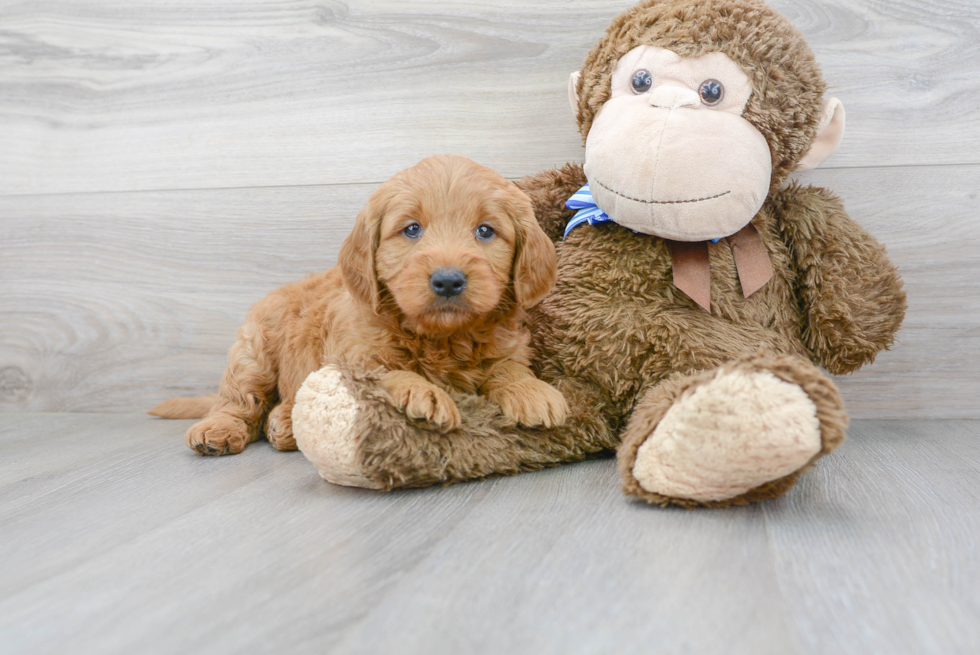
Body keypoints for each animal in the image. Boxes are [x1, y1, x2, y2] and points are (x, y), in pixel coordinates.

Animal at [149, 156, 572, 458]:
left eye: (486, 231)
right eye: (412, 229)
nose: (449, 280)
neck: (443, 338)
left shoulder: (506, 345)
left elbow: (507, 368)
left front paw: (532, 392)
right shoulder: (350, 355)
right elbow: (387, 371)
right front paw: (425, 393)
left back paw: (283, 422)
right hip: (252, 353)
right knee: (238, 401)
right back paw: (219, 429)